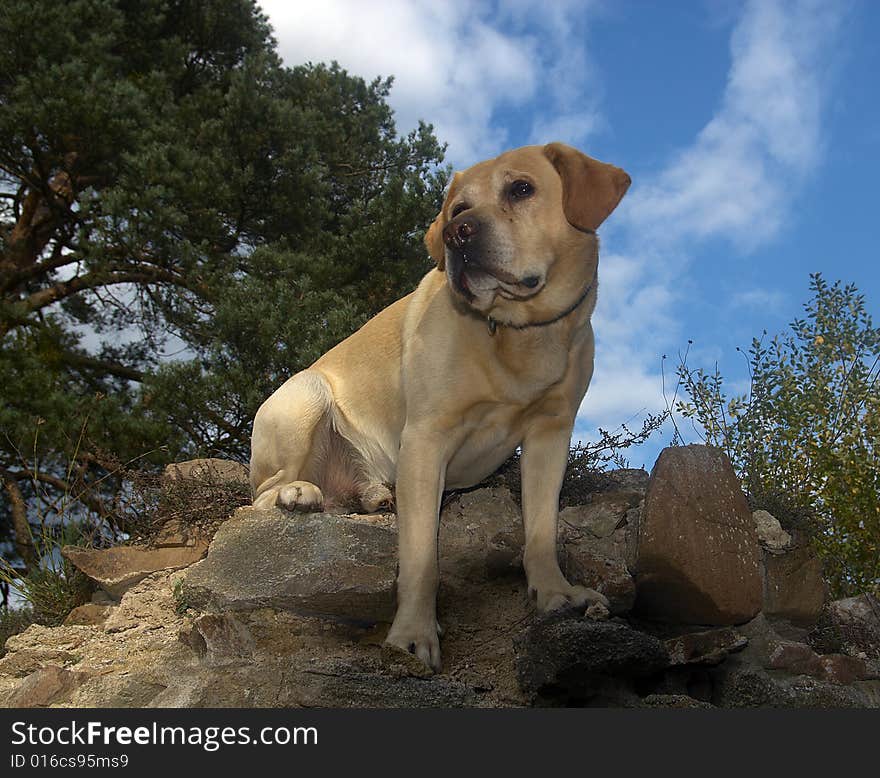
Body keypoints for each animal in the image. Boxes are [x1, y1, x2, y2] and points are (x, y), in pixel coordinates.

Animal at [251, 144, 628, 668]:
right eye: (457, 209)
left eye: (522, 188)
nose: (457, 233)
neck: (515, 331)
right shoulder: (426, 439)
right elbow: (420, 561)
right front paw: (413, 634)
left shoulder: (549, 436)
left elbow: (541, 530)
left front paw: (556, 595)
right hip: (305, 395)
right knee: (260, 495)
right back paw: (300, 493)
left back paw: (372, 495)